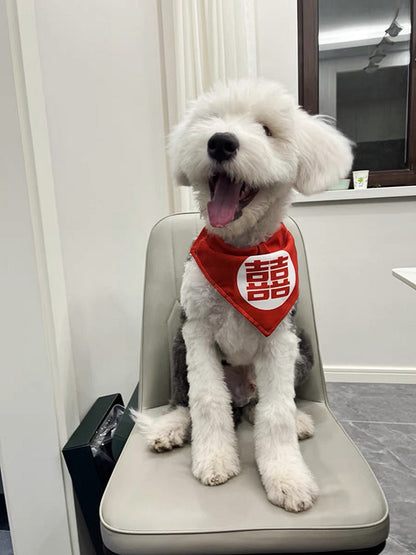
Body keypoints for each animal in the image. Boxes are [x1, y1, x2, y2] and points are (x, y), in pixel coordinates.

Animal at [136, 78, 352, 512]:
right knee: (185, 399)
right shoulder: (197, 332)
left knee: (262, 405)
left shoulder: (280, 339)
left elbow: (276, 412)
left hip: (303, 351)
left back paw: (297, 421)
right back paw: (170, 428)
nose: (220, 142)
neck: (240, 254)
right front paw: (215, 460)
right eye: (211, 119)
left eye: (267, 129)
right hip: (176, 346)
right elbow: (205, 399)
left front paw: (287, 478)